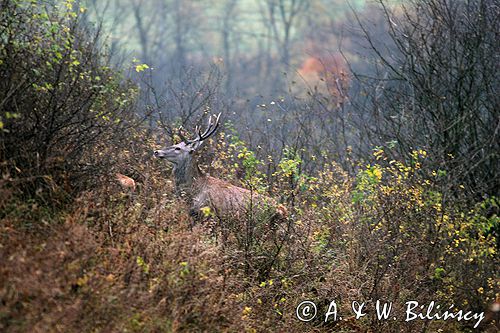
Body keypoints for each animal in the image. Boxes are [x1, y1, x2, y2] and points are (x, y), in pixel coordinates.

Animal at [152, 113, 286, 220]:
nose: (156, 151)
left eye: (178, 148)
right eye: (176, 144)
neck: (193, 192)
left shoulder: (207, 213)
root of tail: (283, 210)